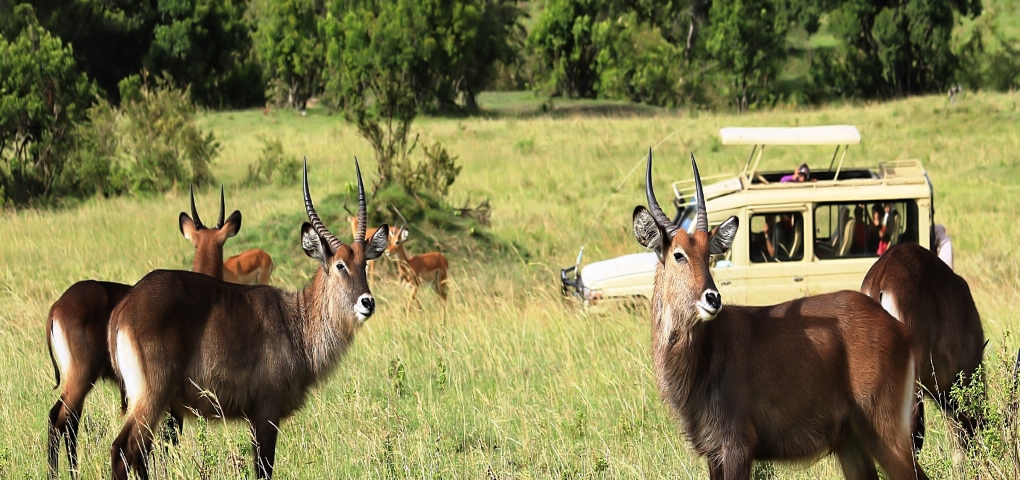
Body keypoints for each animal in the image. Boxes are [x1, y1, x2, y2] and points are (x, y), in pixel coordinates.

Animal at [46, 186, 242, 476]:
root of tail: (57, 305)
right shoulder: (171, 405)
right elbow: (167, 442)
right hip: (82, 377)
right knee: (59, 419)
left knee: (70, 423)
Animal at [106, 160, 385, 478]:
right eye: (339, 265)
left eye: (364, 264)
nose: (367, 302)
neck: (296, 322)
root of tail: (124, 307)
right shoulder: (265, 413)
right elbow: (263, 468)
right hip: (152, 396)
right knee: (123, 449)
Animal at [632, 150, 930, 480]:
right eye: (678, 254)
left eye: (708, 254)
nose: (713, 298)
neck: (704, 355)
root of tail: (897, 327)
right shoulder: (713, 453)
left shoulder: (737, 446)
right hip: (850, 440)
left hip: (886, 432)